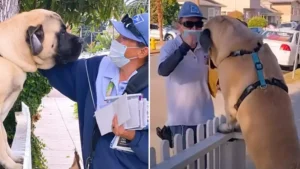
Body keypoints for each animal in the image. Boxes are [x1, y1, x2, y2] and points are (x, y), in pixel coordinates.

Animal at [0, 9, 83, 169]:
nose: (82, 41)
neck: (10, 56)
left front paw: (12, 158)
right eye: (62, 32)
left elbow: (4, 136)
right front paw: (10, 164)